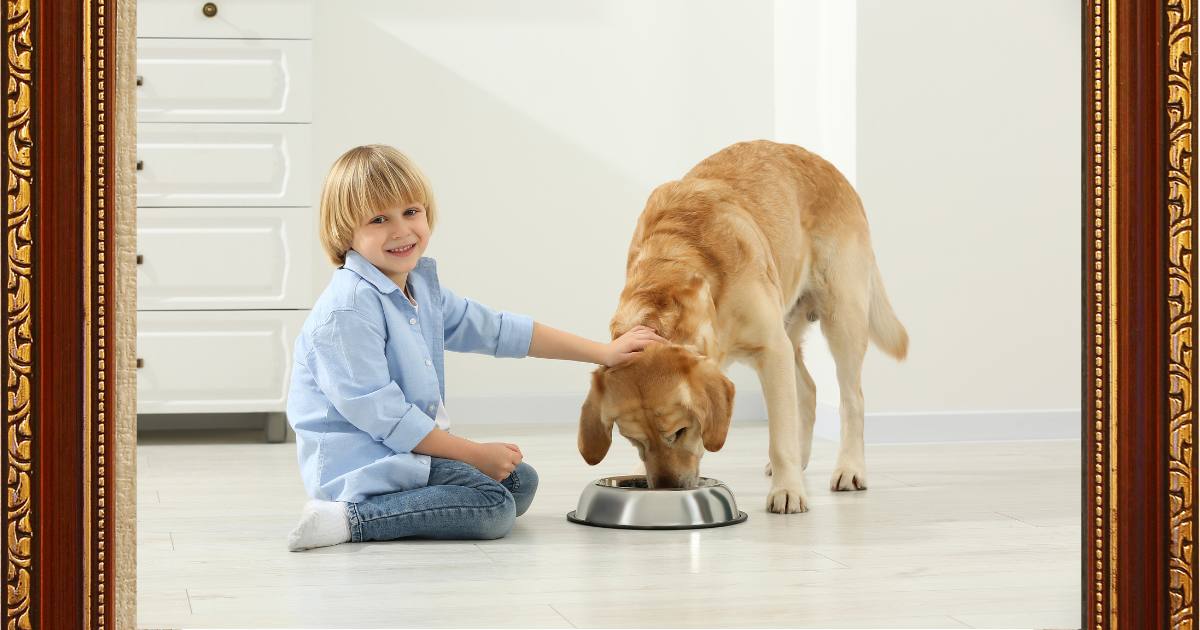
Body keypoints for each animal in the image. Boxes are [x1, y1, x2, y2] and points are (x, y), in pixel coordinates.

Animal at [576, 138, 902, 511]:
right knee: (808, 390)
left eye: (679, 432)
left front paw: (787, 491)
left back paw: (849, 468)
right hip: (788, 329)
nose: (668, 489)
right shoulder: (766, 349)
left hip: (841, 316)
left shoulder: (771, 348)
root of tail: (830, 168)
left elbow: (779, 437)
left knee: (852, 398)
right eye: (634, 441)